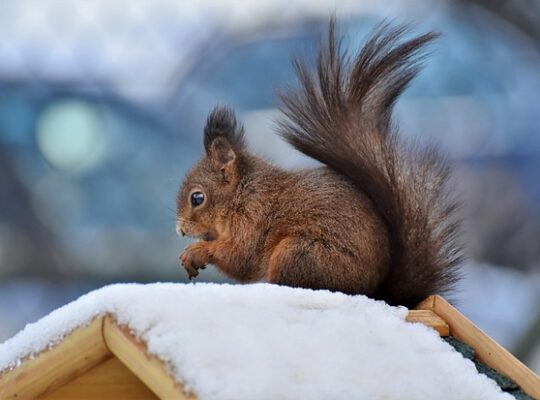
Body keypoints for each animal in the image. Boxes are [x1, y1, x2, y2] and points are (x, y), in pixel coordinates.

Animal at [176, 21, 460, 306]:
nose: (180, 230)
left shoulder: (253, 216)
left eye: (197, 198)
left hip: (299, 253)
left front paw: (196, 251)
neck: (242, 191)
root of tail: (378, 293)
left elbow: (241, 257)